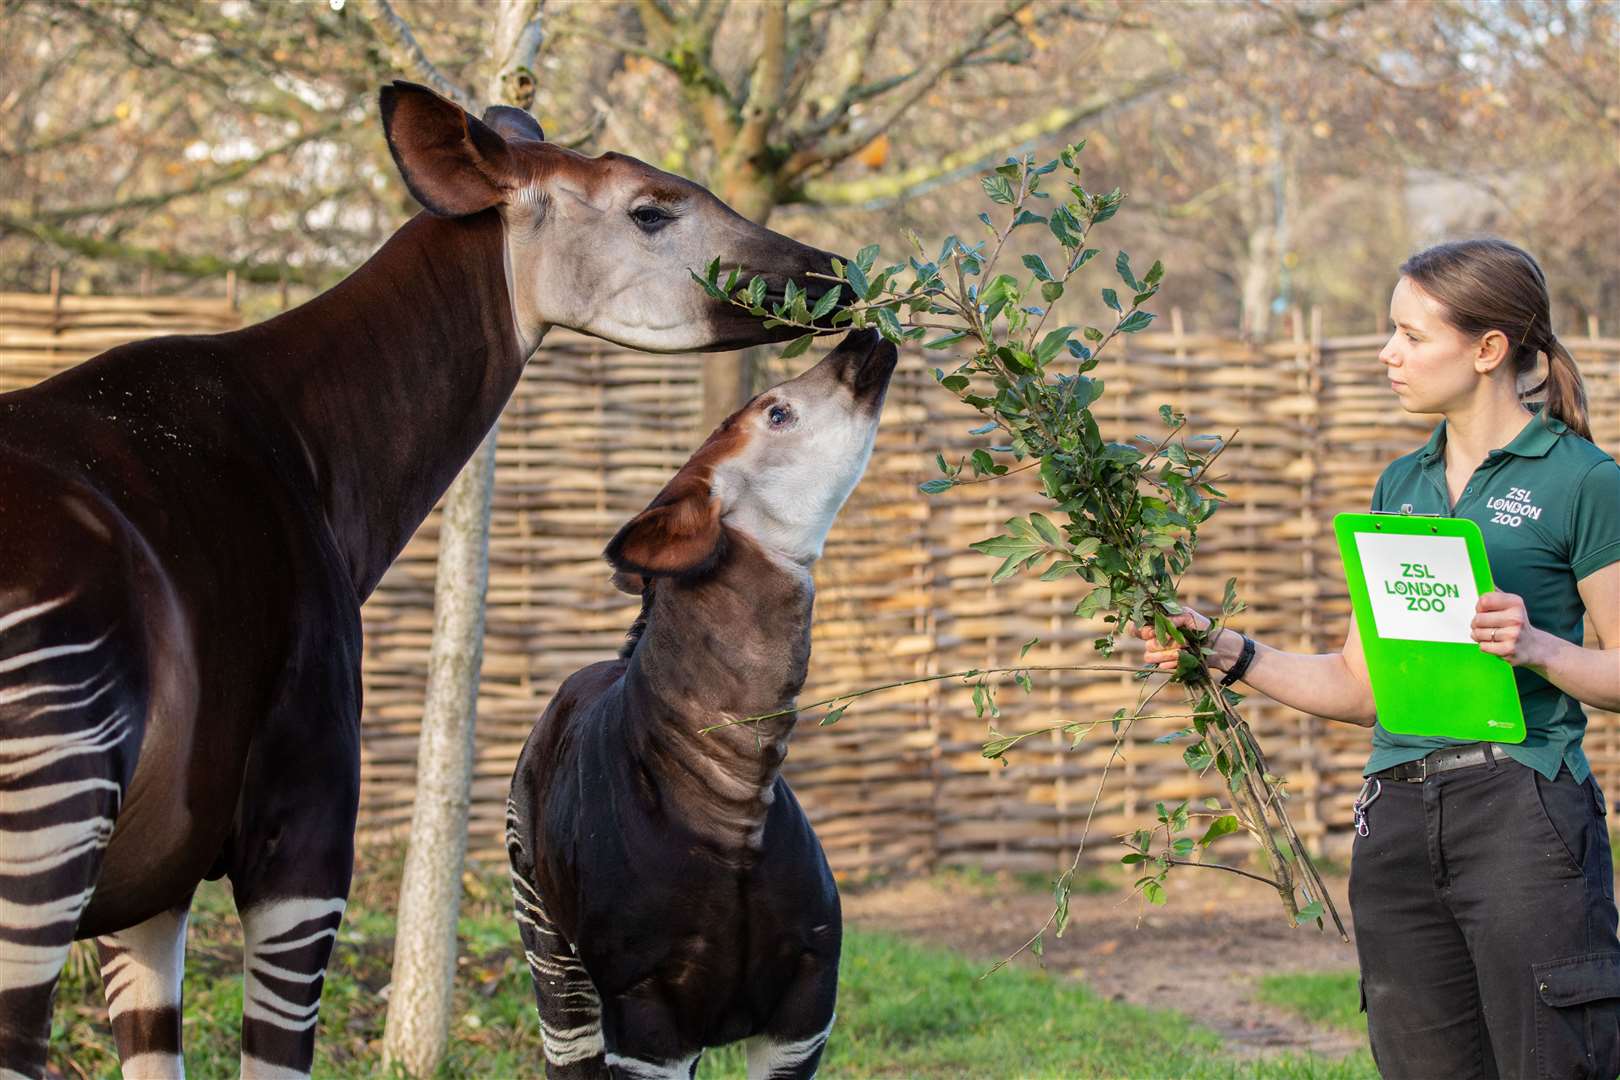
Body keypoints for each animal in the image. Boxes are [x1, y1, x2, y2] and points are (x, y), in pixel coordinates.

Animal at [508, 331, 900, 1080]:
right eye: (777, 412)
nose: (864, 338)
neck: (732, 801)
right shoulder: (645, 1019)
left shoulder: (805, 1009)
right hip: (548, 946)